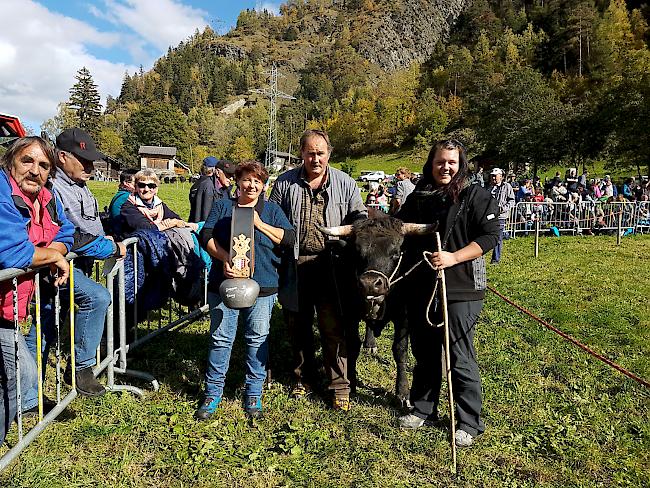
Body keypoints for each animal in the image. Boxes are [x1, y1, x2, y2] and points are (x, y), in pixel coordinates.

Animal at [318, 216, 436, 404]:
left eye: (395, 253)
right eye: (357, 253)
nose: (370, 284)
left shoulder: (403, 316)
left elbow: (400, 350)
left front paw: (402, 392)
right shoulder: (350, 313)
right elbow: (352, 346)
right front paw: (352, 382)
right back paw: (370, 343)